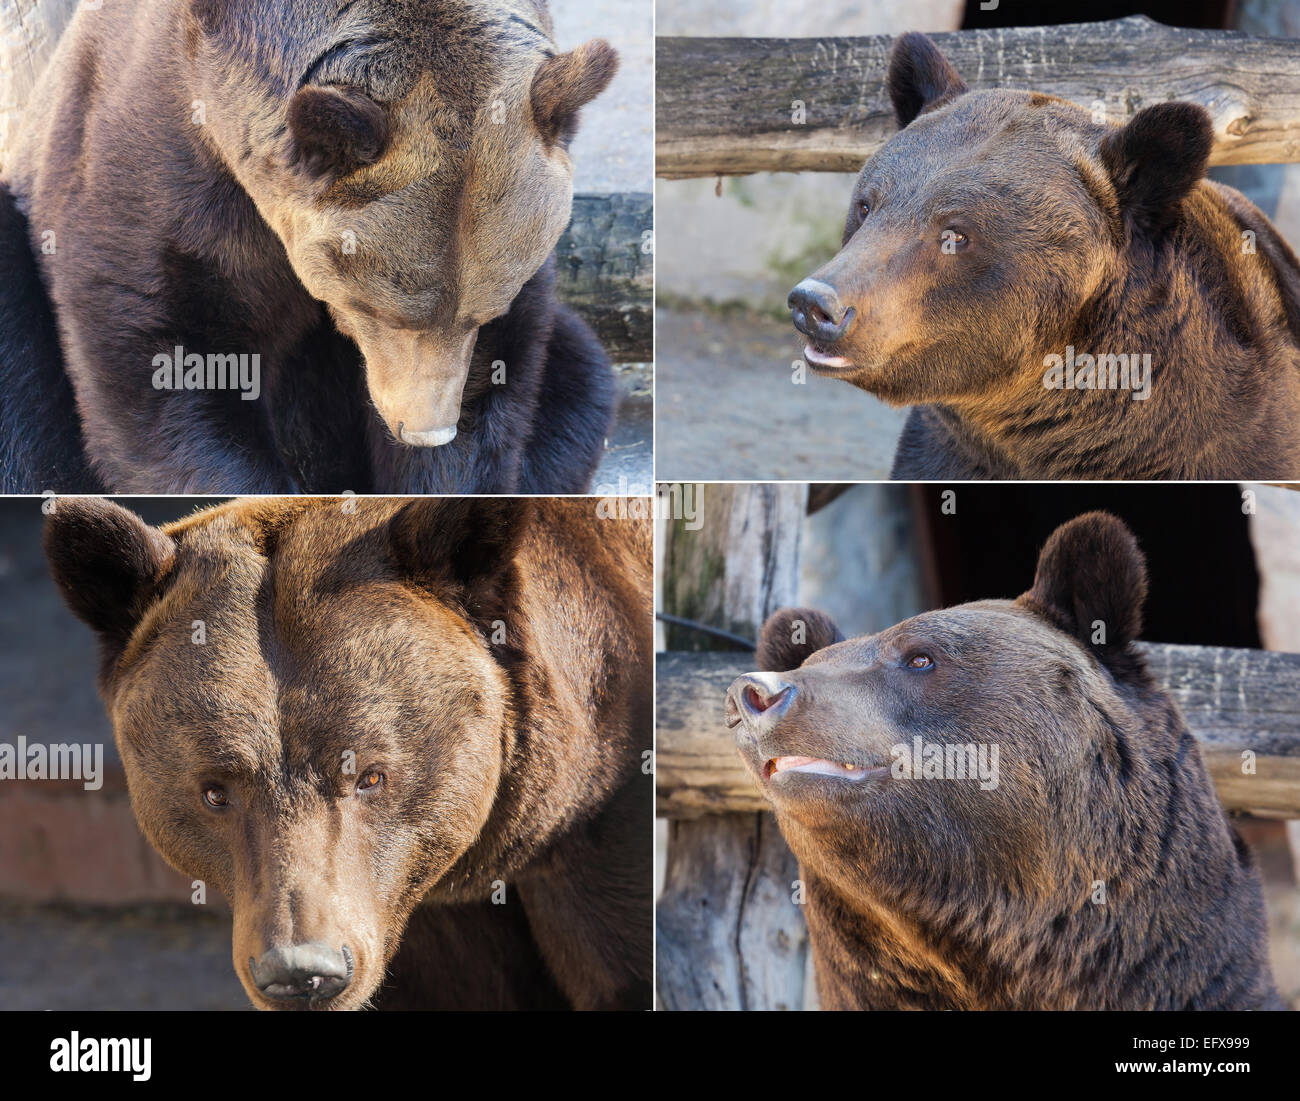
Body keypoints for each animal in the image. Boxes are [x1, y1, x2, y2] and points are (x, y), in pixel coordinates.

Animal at [3, 0, 619, 494]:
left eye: (485, 310)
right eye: (376, 310)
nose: (424, 430)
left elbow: (497, 383)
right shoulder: (162, 157)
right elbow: (161, 356)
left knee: (583, 379)